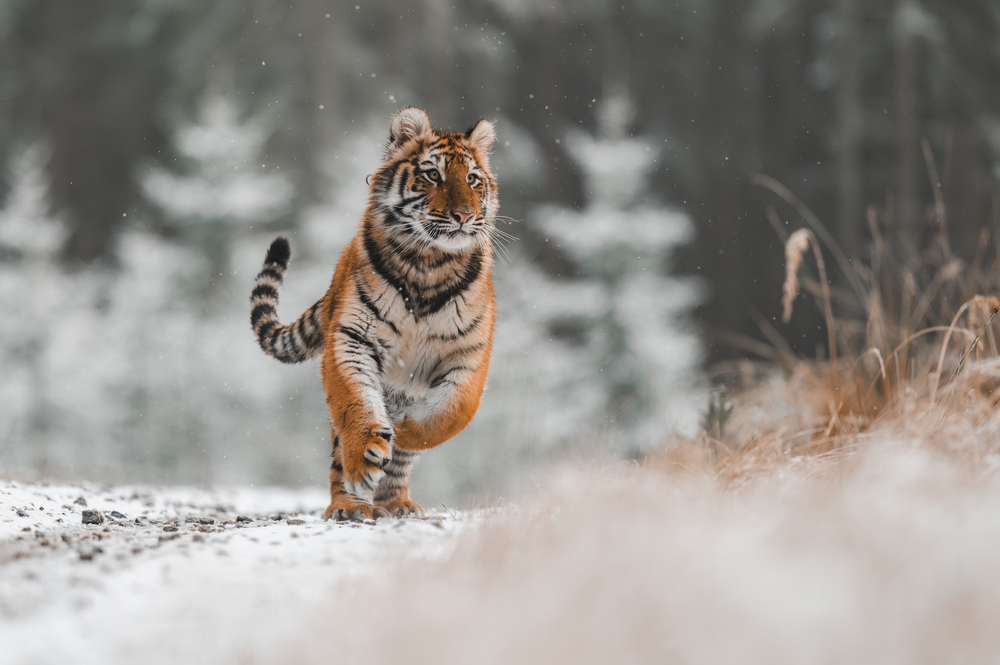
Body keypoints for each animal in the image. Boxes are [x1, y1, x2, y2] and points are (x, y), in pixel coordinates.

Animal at [248, 107, 498, 520]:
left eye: (473, 180)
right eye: (434, 175)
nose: (464, 215)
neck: (429, 263)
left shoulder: (469, 354)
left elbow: (450, 413)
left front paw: (404, 432)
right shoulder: (353, 337)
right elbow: (357, 402)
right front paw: (367, 455)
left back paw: (396, 502)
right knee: (339, 453)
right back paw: (350, 504)